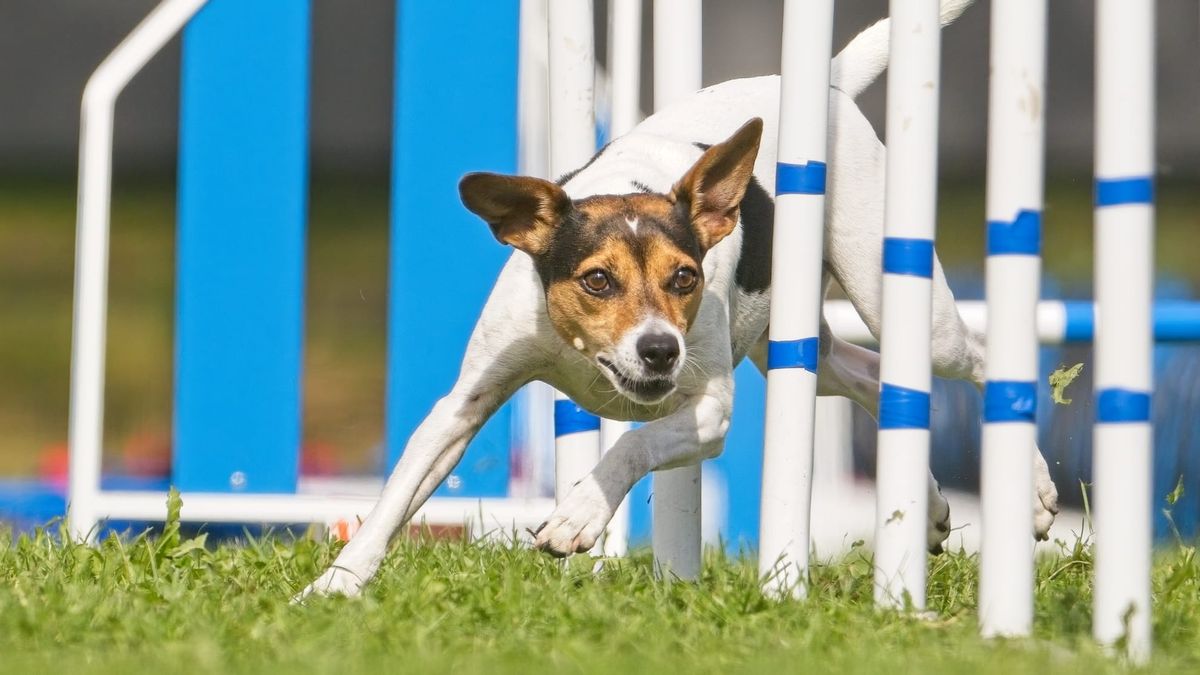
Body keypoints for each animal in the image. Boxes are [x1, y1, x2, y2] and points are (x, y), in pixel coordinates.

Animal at [300, 0, 1060, 598]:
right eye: (596, 280)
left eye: (685, 277)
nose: (660, 349)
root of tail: (829, 82)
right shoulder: (465, 401)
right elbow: (396, 496)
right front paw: (333, 587)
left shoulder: (709, 409)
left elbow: (634, 443)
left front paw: (579, 513)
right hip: (797, 348)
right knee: (874, 378)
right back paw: (928, 507)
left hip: (898, 298)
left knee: (977, 362)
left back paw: (1034, 493)